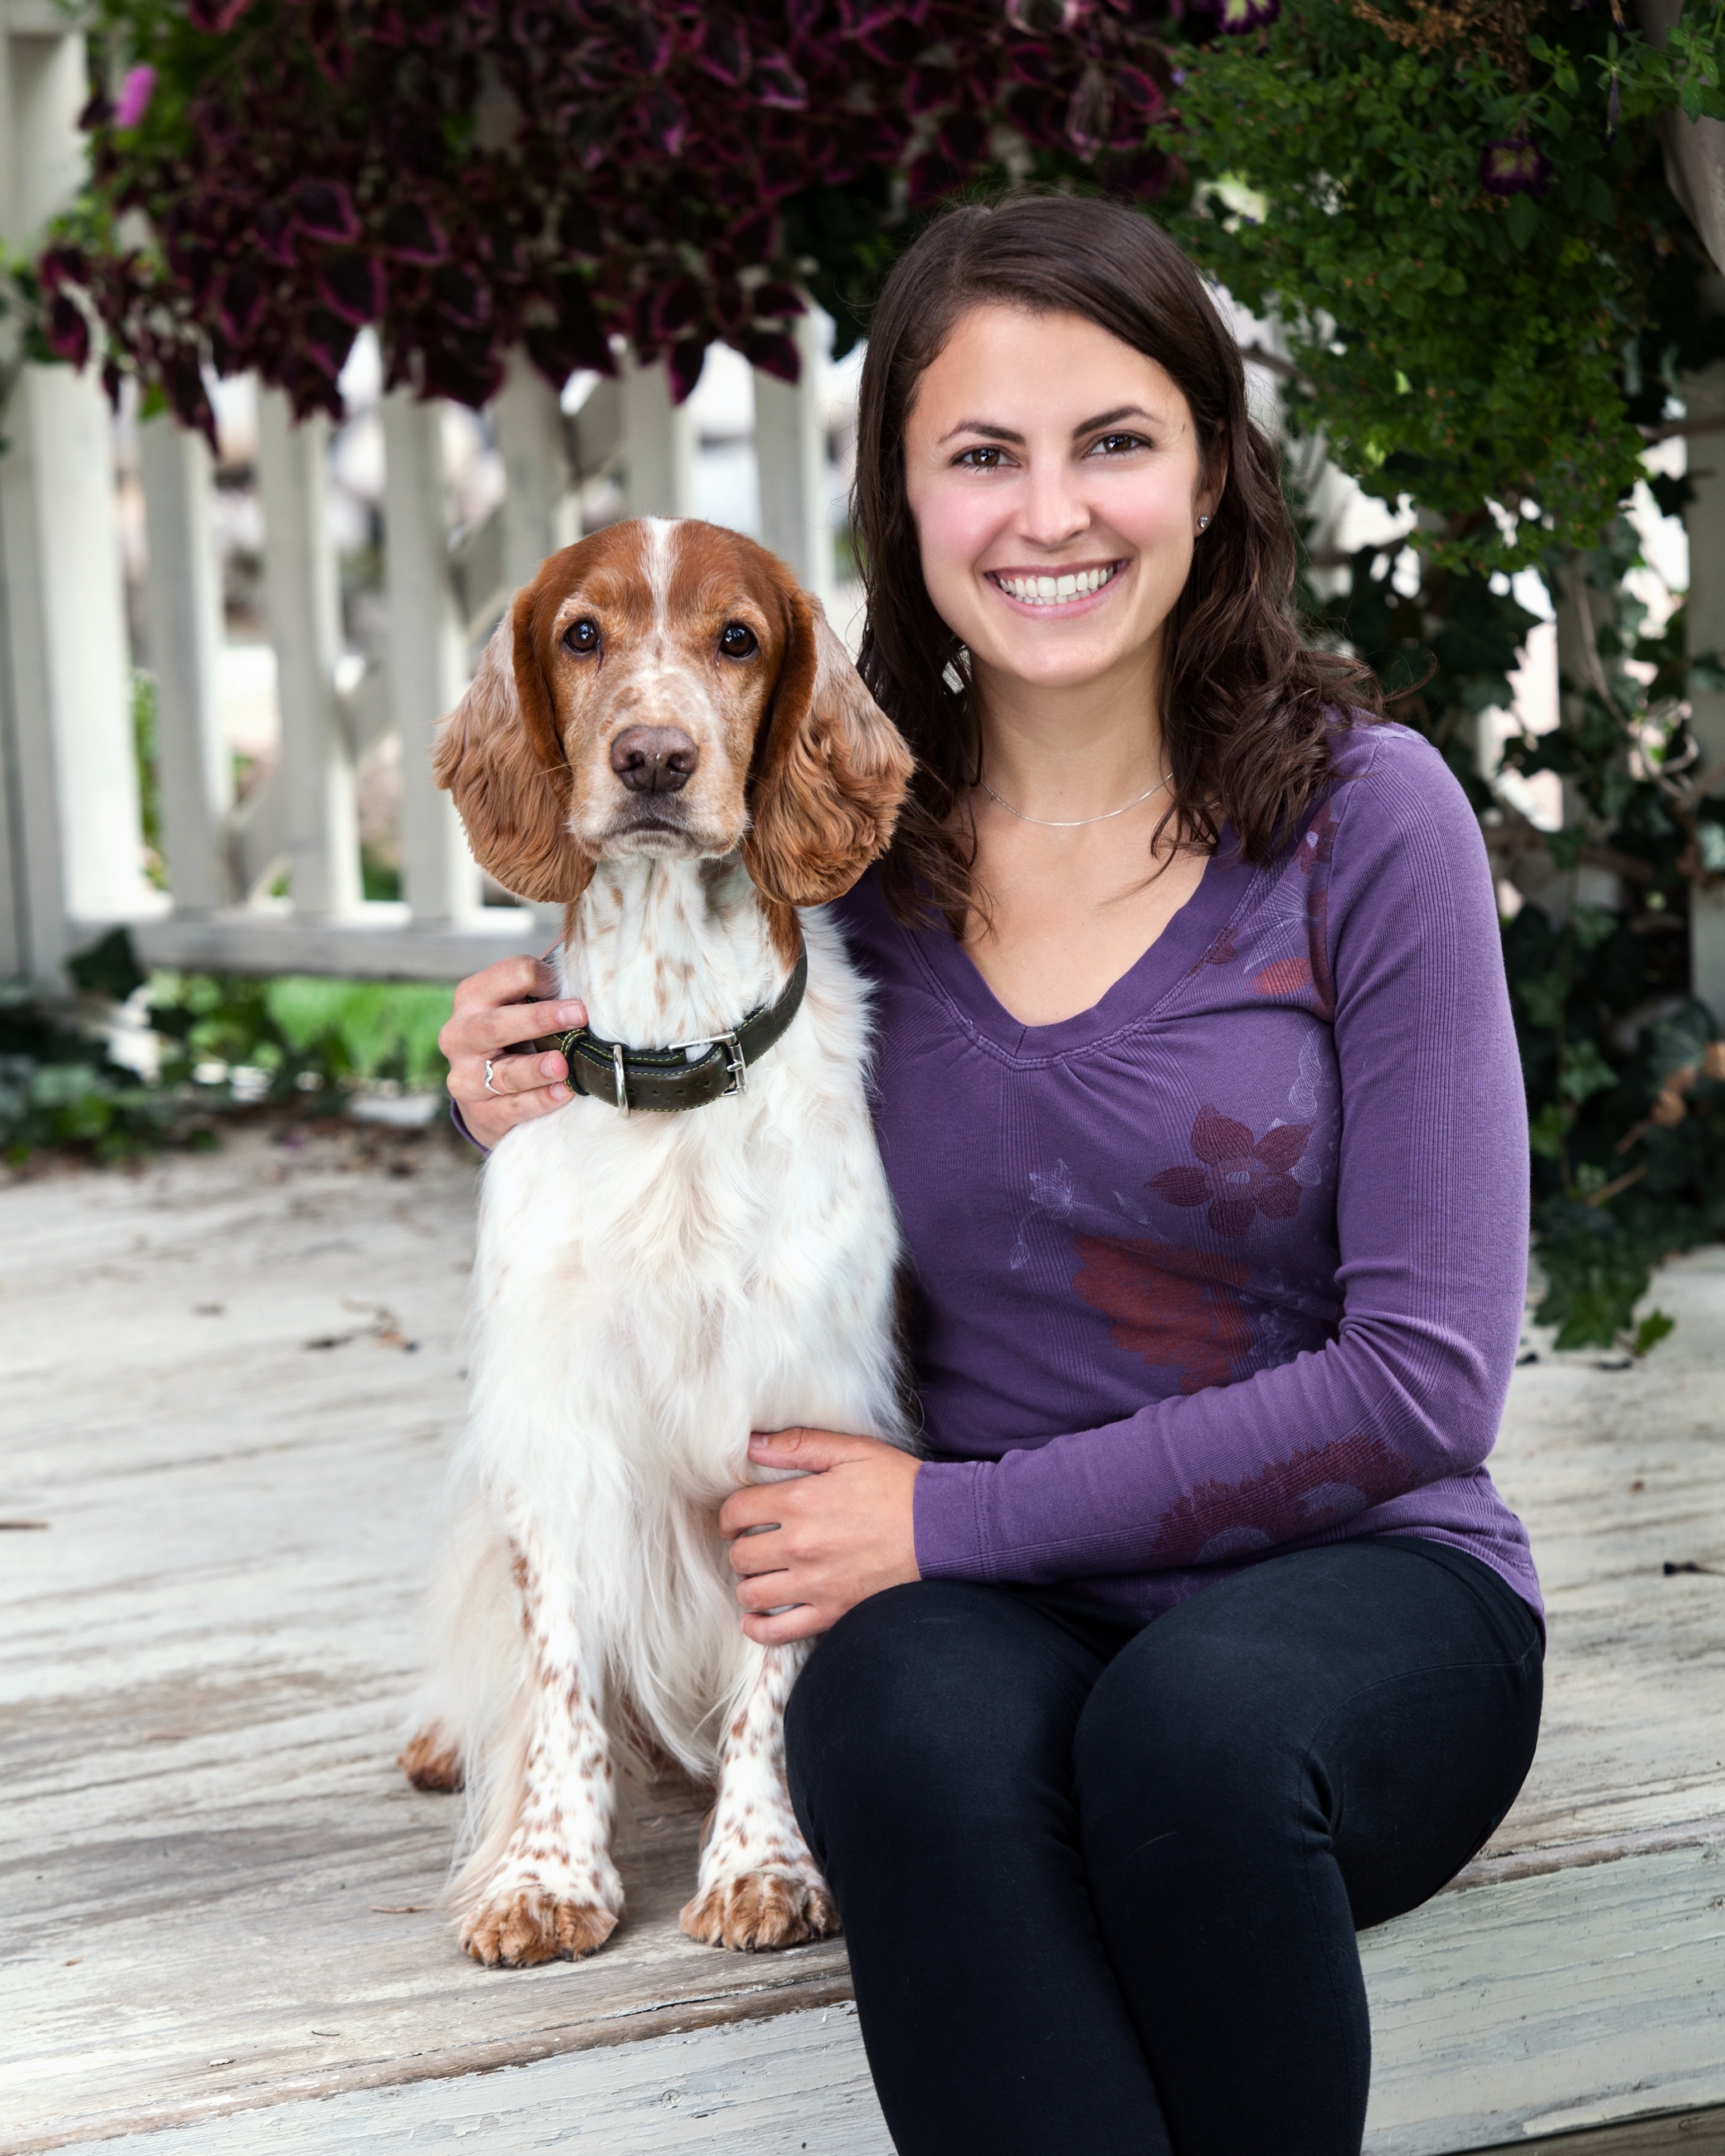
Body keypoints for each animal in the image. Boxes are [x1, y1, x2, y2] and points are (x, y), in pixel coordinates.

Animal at [401, 522, 914, 1974]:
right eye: (582, 634)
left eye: (738, 639)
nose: (652, 759)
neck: (676, 1057)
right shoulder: (560, 1422)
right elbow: (560, 1673)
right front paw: (546, 1877)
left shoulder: (792, 1419)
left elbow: (770, 1676)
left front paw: (762, 1865)